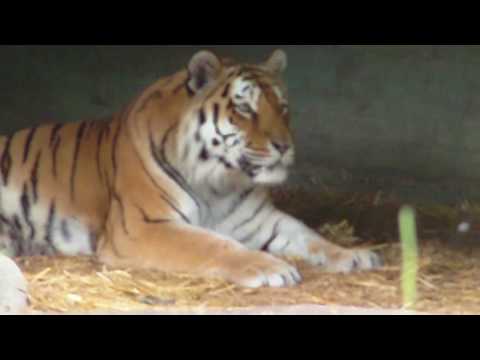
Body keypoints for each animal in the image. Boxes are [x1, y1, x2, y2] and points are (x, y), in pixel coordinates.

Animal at [0, 48, 382, 310]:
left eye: (283, 107)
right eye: (245, 109)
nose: (284, 146)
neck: (219, 182)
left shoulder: (261, 221)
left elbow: (309, 236)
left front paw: (355, 256)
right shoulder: (142, 227)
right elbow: (213, 243)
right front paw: (270, 267)